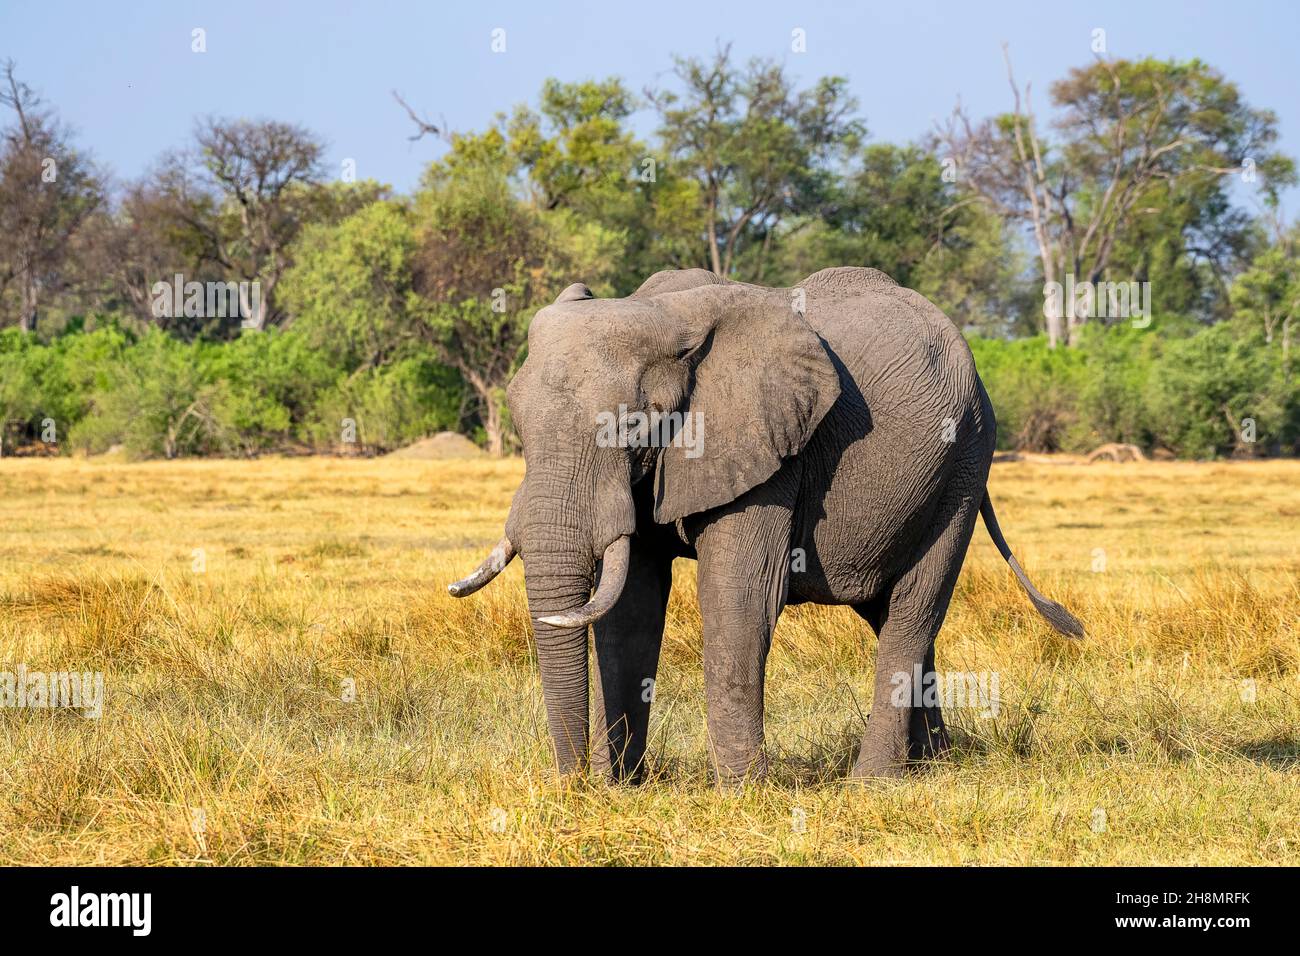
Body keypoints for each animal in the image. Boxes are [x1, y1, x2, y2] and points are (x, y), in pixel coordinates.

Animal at [447, 267, 1076, 785]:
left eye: (627, 426)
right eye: (518, 423)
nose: (573, 786)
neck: (663, 315)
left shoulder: (768, 449)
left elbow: (739, 599)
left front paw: (742, 794)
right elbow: (630, 611)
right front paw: (622, 788)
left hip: (964, 465)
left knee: (912, 611)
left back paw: (871, 783)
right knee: (891, 613)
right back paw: (933, 766)